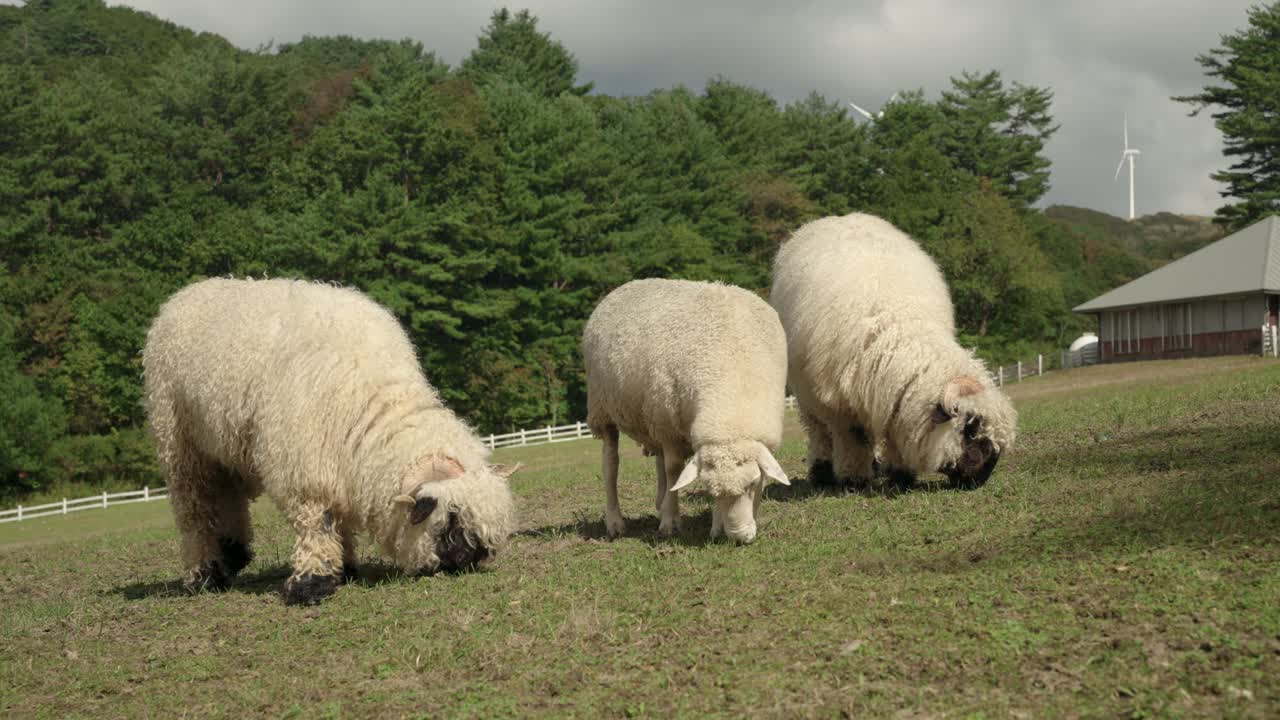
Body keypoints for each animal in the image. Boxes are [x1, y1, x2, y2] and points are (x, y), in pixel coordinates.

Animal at [142, 278, 519, 606]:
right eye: (451, 521)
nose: (470, 561)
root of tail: (190, 291)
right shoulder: (305, 470)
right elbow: (317, 525)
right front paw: (312, 583)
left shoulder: (341, 460)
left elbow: (340, 520)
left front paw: (346, 567)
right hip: (179, 443)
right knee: (196, 510)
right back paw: (204, 574)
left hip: (224, 443)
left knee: (228, 496)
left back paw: (232, 553)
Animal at [583, 278, 790, 544]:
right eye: (710, 490)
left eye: (754, 483)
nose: (738, 536)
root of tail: (625, 286)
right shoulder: (669, 428)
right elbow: (673, 470)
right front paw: (672, 522)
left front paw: (716, 525)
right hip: (604, 408)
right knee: (611, 465)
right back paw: (615, 522)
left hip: (652, 413)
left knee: (657, 460)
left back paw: (659, 505)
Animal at [769, 213, 1017, 490]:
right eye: (971, 427)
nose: (982, 477)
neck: (898, 326)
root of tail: (839, 217)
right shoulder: (839, 406)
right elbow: (853, 436)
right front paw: (854, 478)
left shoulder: (894, 396)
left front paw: (900, 476)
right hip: (807, 395)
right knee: (819, 432)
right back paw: (822, 473)